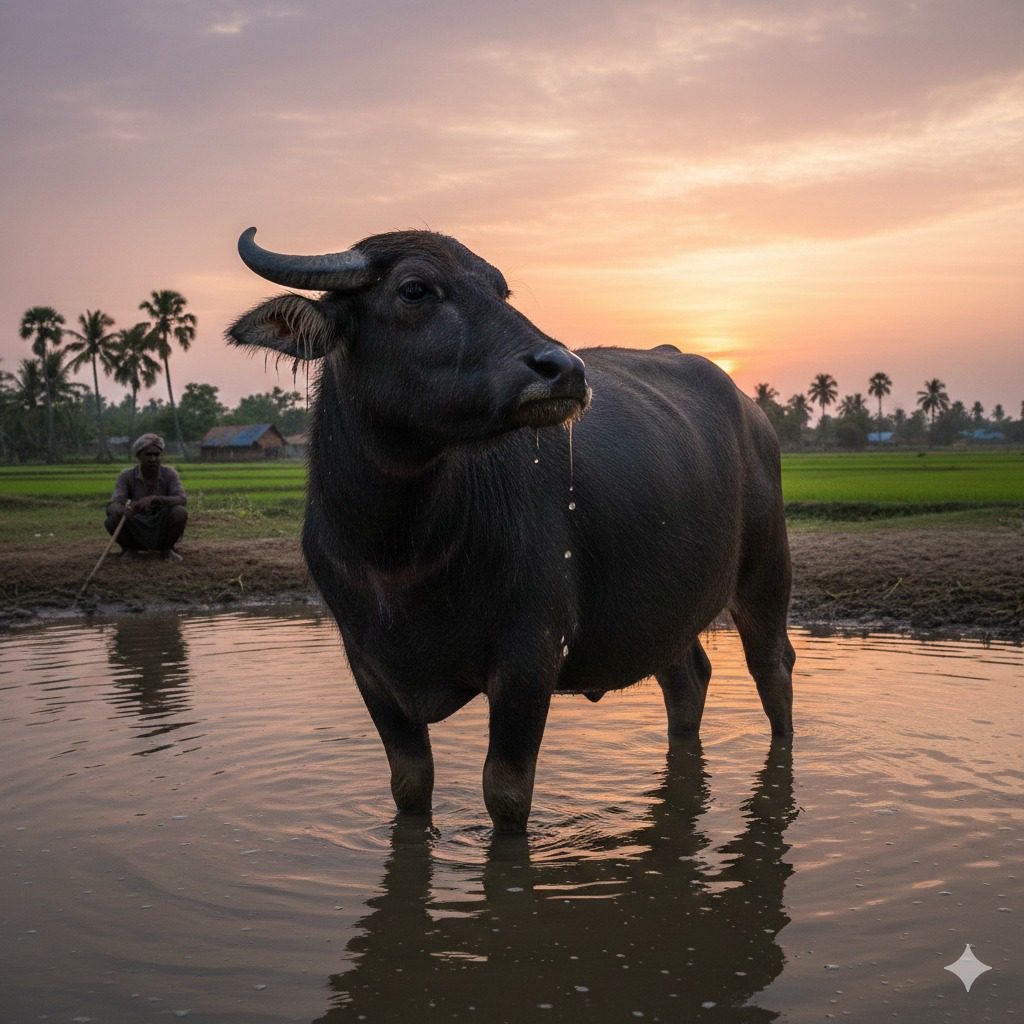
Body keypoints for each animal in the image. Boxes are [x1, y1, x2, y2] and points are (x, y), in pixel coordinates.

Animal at [228, 227, 794, 832]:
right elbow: (409, 786)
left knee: (773, 669)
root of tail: (754, 414)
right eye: (414, 289)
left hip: (765, 573)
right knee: (687, 679)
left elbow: (505, 793)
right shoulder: (370, 668)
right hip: (667, 612)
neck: (402, 555)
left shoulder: (529, 659)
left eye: (500, 290)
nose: (565, 369)